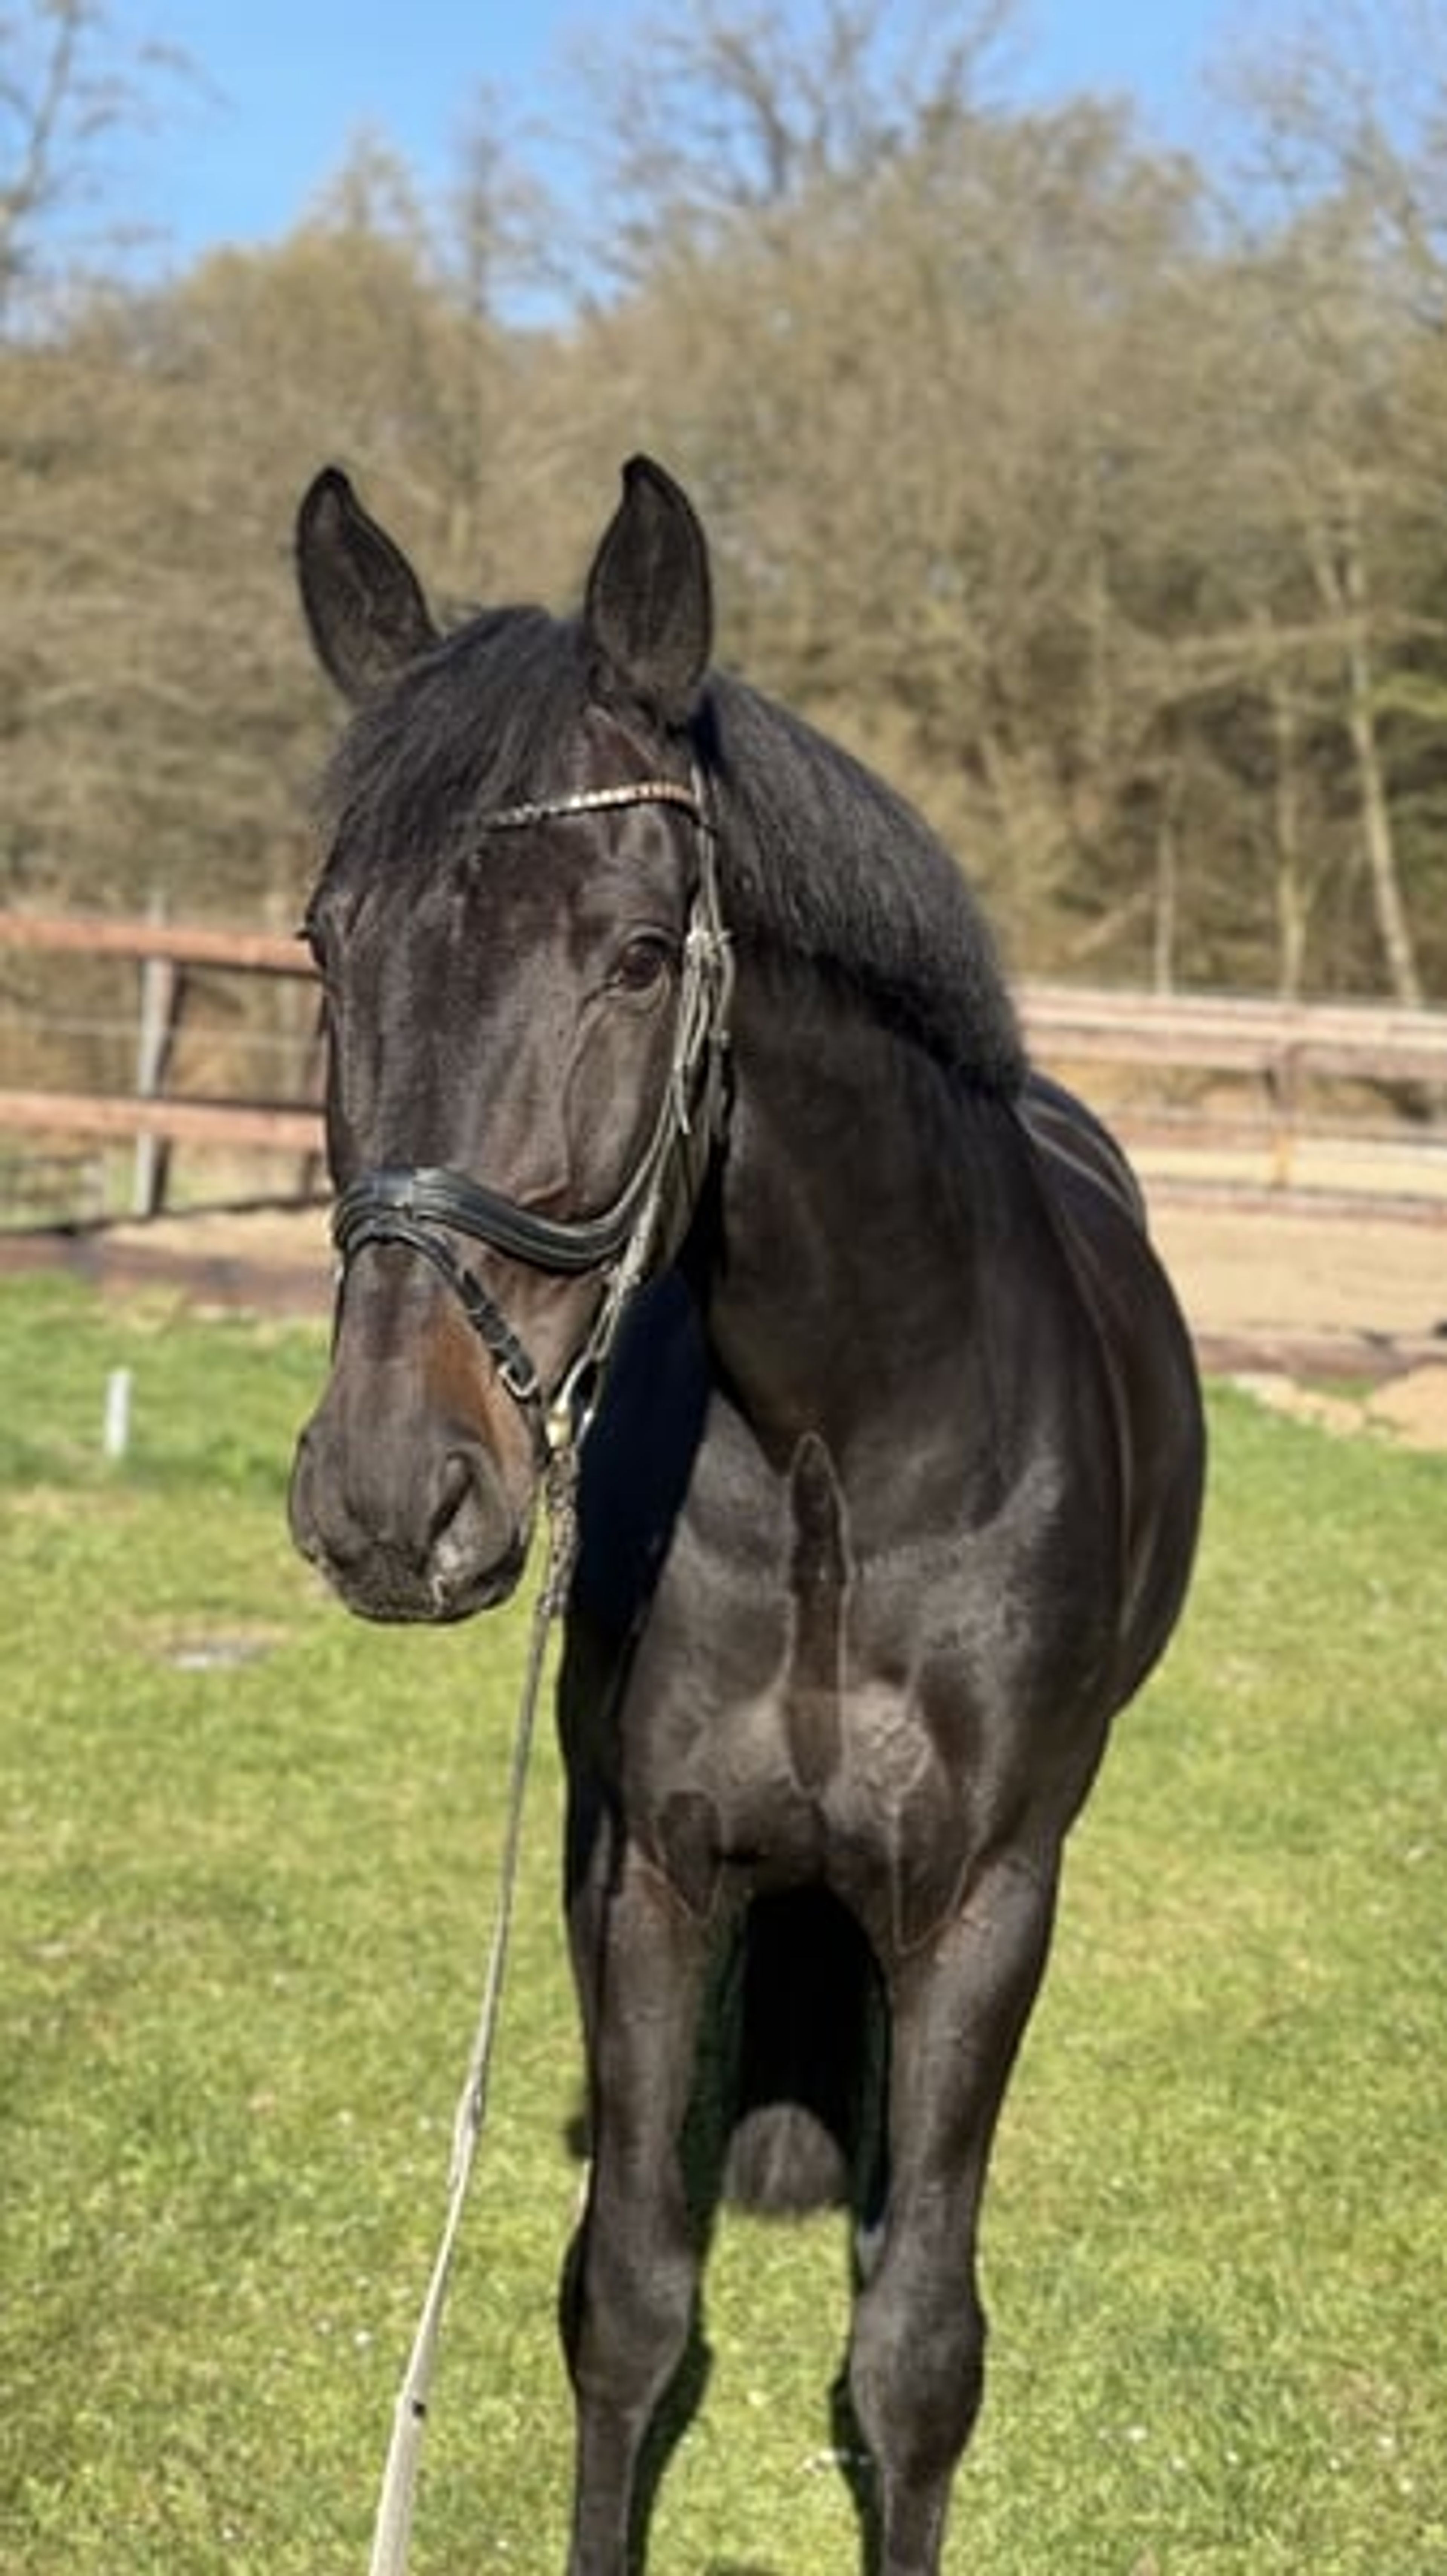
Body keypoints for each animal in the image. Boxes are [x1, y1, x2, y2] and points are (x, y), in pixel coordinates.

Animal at [288, 453, 1205, 2576]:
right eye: (322, 948)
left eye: (637, 954)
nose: (387, 1496)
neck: (845, 1451)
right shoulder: (644, 1871)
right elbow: (626, 2298)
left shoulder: (985, 1898)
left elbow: (920, 2349)